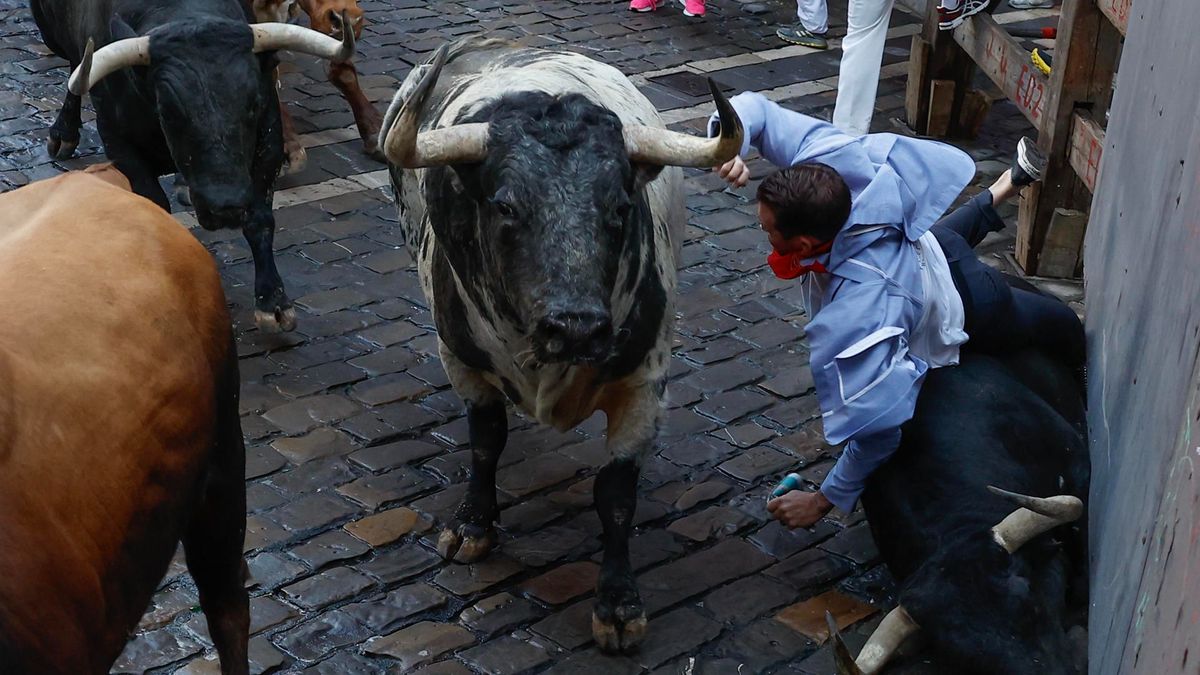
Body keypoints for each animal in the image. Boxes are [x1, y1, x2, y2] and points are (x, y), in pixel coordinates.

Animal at [28, 0, 355, 329]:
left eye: (252, 105)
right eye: (169, 112)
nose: (225, 207)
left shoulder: (270, 135)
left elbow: (260, 218)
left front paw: (273, 301)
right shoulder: (117, 140)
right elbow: (155, 204)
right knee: (75, 67)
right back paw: (63, 133)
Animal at [379, 39, 744, 648]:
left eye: (619, 206)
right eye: (505, 206)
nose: (575, 328)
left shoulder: (645, 383)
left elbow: (616, 495)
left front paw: (618, 604)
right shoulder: (460, 361)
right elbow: (486, 441)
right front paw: (472, 524)